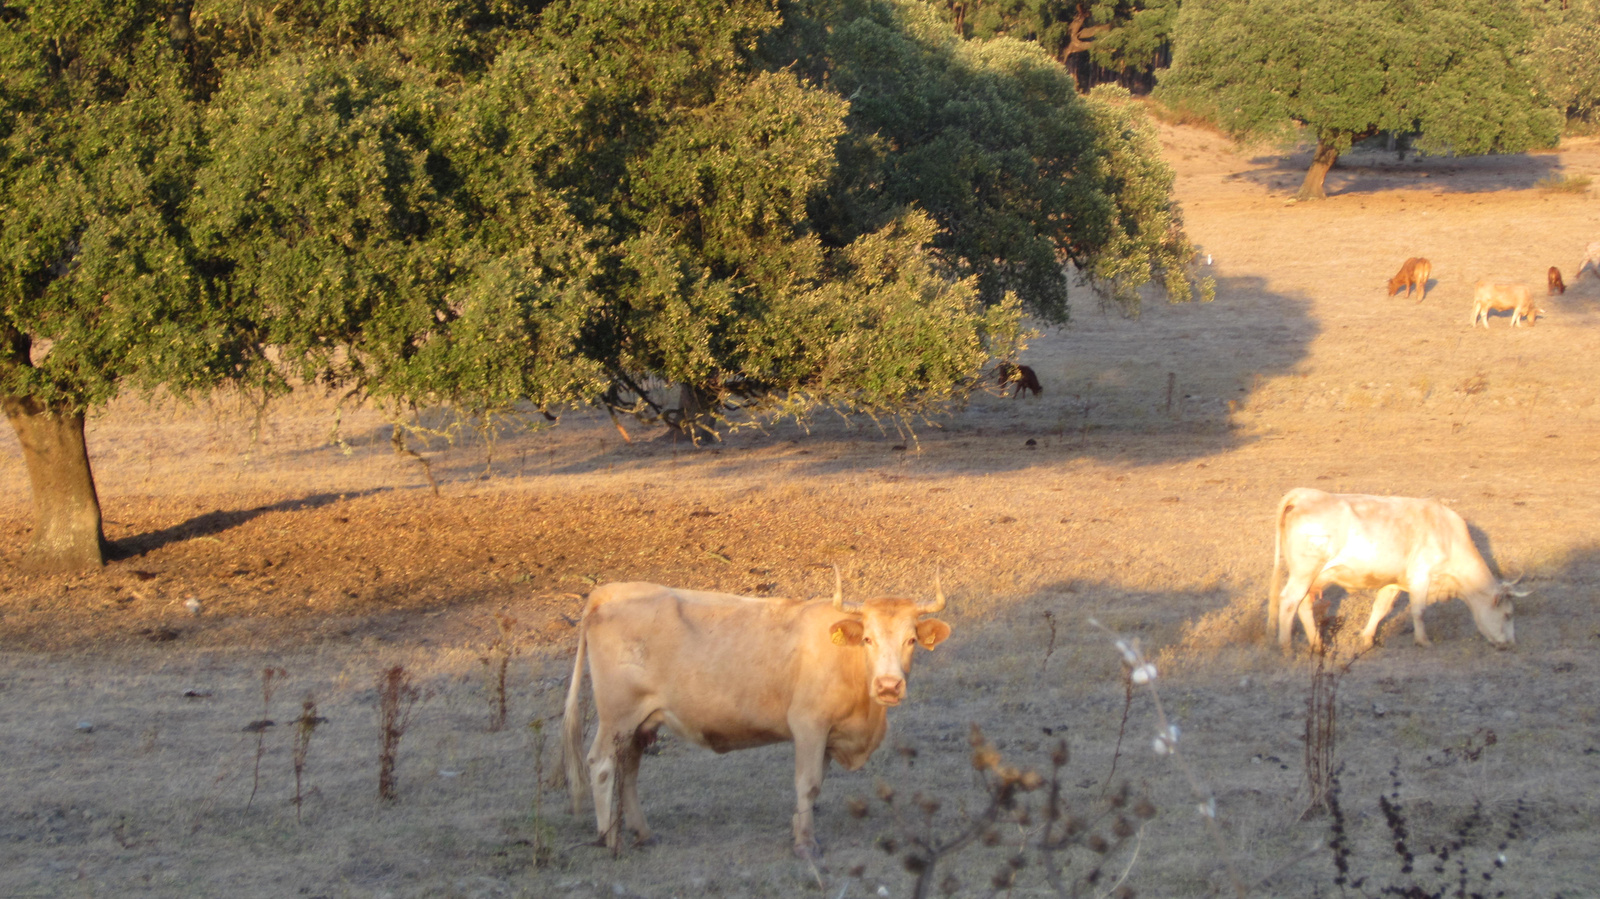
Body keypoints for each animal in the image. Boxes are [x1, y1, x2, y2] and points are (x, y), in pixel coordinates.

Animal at [563, 569, 947, 857]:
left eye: (911, 640)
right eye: (868, 639)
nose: (888, 686)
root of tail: (607, 594)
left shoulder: (827, 734)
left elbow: (817, 784)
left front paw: (798, 828)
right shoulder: (808, 725)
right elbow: (808, 783)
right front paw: (805, 844)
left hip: (641, 723)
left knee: (628, 769)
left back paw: (642, 833)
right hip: (617, 717)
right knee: (602, 764)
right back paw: (609, 838)